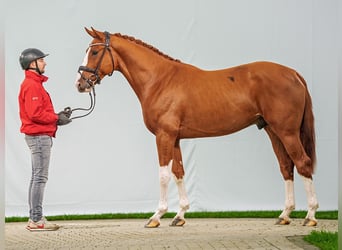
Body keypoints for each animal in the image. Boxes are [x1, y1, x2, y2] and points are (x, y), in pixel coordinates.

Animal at [75, 27, 318, 229]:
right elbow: (179, 172)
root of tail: (293, 73)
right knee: (286, 166)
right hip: (273, 131)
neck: (160, 80)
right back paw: (285, 215)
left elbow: (163, 175)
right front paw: (180, 216)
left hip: (287, 132)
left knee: (303, 163)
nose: (80, 84)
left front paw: (156, 217)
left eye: (94, 52)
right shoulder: (175, 138)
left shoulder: (164, 136)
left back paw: (311, 216)